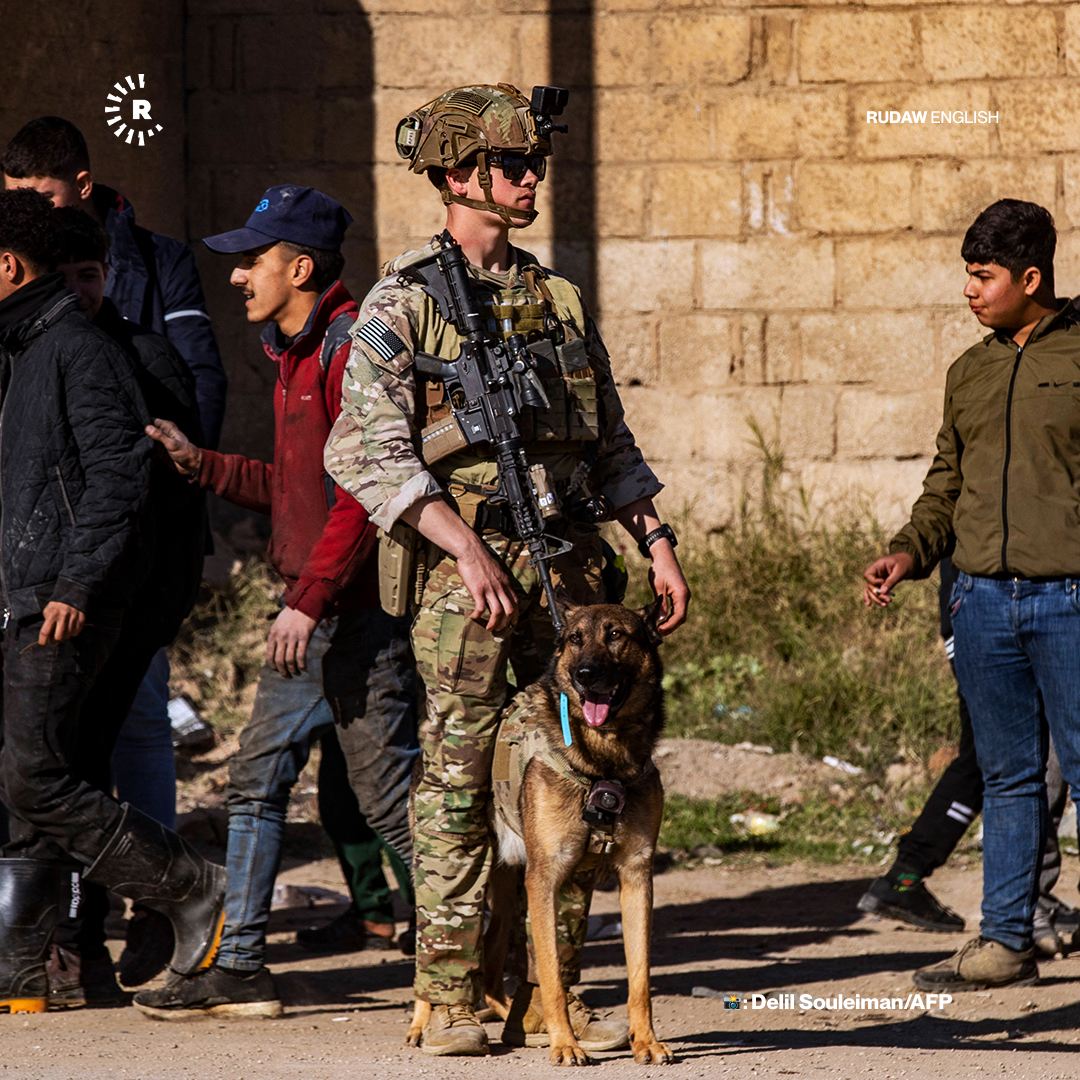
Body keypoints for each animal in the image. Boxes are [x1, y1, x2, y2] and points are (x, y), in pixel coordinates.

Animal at [406, 596, 669, 1067]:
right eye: (575, 639)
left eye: (616, 635)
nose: (585, 674)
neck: (605, 760)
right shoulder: (545, 879)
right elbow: (549, 973)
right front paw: (564, 1043)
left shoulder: (636, 877)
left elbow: (639, 979)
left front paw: (646, 1041)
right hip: (452, 868)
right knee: (432, 942)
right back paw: (431, 1022)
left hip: (509, 886)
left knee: (491, 957)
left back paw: (513, 1017)